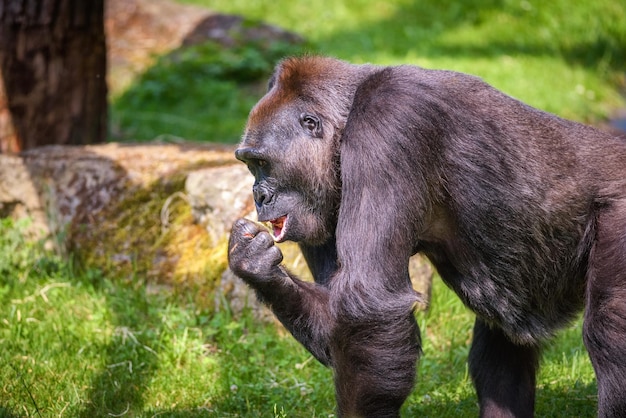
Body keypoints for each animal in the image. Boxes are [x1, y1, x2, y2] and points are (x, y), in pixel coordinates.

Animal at [227, 56, 624, 418]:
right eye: (249, 164)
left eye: (261, 163)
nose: (258, 196)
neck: (347, 115)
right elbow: (338, 321)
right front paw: (255, 265)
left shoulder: (389, 120)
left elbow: (367, 302)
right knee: (500, 343)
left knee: (609, 336)